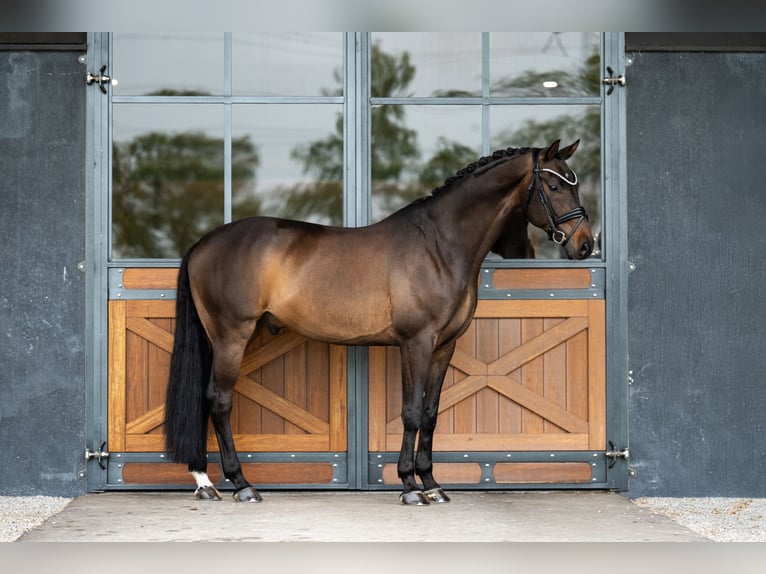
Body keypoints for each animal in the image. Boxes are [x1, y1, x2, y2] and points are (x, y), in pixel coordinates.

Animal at [164, 140, 593, 505]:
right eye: (555, 186)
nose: (586, 244)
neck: (439, 244)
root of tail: (204, 242)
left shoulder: (444, 345)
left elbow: (431, 414)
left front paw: (432, 483)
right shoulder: (416, 342)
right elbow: (411, 412)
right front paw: (409, 486)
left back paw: (207, 481)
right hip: (230, 337)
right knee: (218, 402)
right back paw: (238, 484)